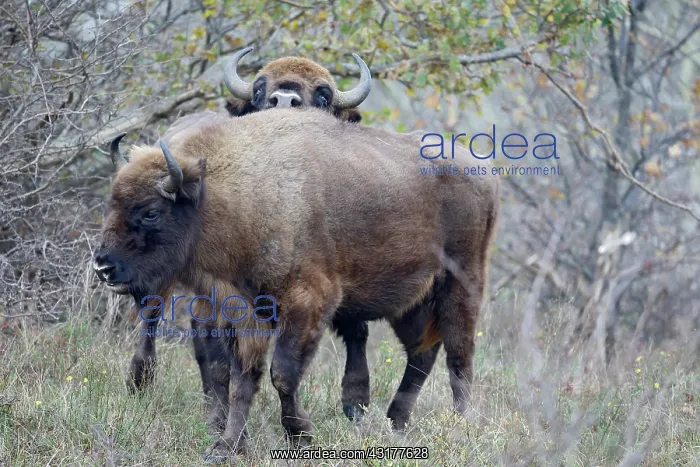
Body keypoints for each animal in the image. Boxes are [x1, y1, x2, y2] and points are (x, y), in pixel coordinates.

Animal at [95, 108, 499, 461]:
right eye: (111, 202)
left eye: (151, 212)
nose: (103, 266)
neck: (230, 197)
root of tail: (484, 174)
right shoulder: (242, 312)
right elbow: (243, 378)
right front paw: (227, 447)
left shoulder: (308, 303)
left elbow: (282, 374)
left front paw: (300, 435)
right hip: (411, 302)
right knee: (422, 354)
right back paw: (395, 423)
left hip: (462, 282)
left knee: (459, 356)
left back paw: (464, 427)